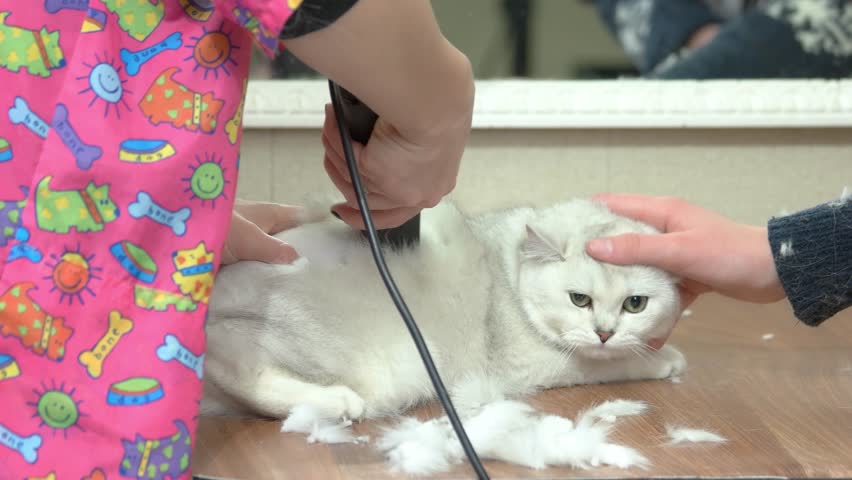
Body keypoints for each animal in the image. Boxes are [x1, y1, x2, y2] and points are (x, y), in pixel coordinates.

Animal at [203, 199, 688, 420]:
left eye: (635, 304)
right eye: (579, 299)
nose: (605, 332)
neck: (508, 266)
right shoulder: (534, 363)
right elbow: (609, 365)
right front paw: (663, 359)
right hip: (401, 360)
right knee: (229, 364)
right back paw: (338, 402)